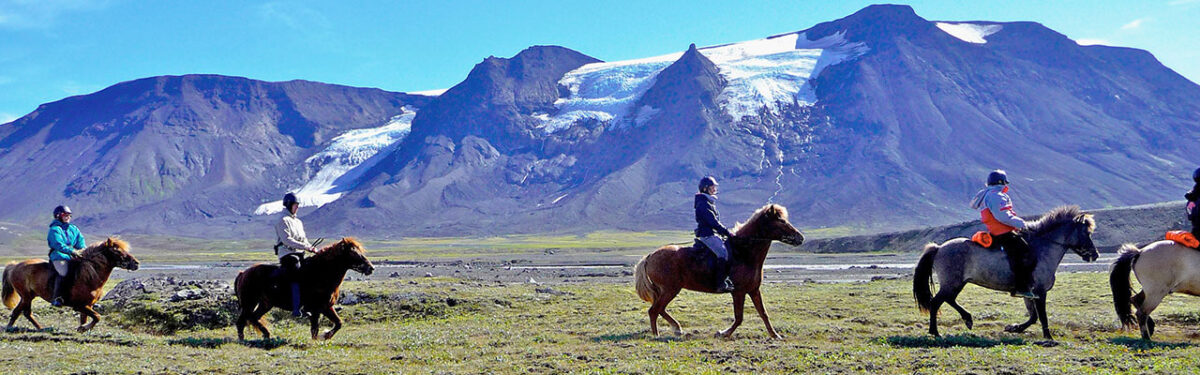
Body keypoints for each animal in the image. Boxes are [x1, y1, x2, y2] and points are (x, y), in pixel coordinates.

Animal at [2, 239, 139, 331]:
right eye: (117, 251)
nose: (136, 263)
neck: (89, 276)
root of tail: (14, 266)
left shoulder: (88, 305)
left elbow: (86, 318)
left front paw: (82, 328)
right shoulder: (79, 306)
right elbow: (97, 316)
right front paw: (83, 328)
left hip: (28, 296)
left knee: (21, 312)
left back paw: (31, 328)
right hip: (26, 296)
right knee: (23, 312)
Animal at [230, 239, 369, 341]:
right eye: (353, 253)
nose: (370, 268)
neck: (321, 273)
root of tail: (242, 273)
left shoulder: (326, 307)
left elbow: (339, 323)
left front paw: (326, 336)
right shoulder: (316, 309)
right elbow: (315, 329)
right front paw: (320, 338)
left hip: (265, 304)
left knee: (253, 318)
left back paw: (266, 335)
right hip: (249, 303)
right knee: (243, 321)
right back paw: (247, 340)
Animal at [633, 203, 801, 338]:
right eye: (781, 221)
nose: (800, 238)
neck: (743, 253)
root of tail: (650, 256)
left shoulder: (753, 290)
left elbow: (763, 314)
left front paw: (775, 335)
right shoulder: (738, 292)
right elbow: (739, 318)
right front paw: (723, 333)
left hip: (666, 290)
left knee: (659, 309)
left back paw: (676, 329)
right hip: (670, 289)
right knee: (654, 310)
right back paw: (657, 335)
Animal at [907, 205, 1099, 338]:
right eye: (1086, 232)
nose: (1095, 255)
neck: (1041, 249)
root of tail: (939, 248)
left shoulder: (1028, 293)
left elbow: (1033, 317)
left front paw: (1014, 328)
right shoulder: (1040, 292)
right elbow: (1042, 316)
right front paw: (1048, 337)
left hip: (956, 283)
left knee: (948, 300)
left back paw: (967, 319)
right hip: (952, 283)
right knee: (936, 302)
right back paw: (935, 332)